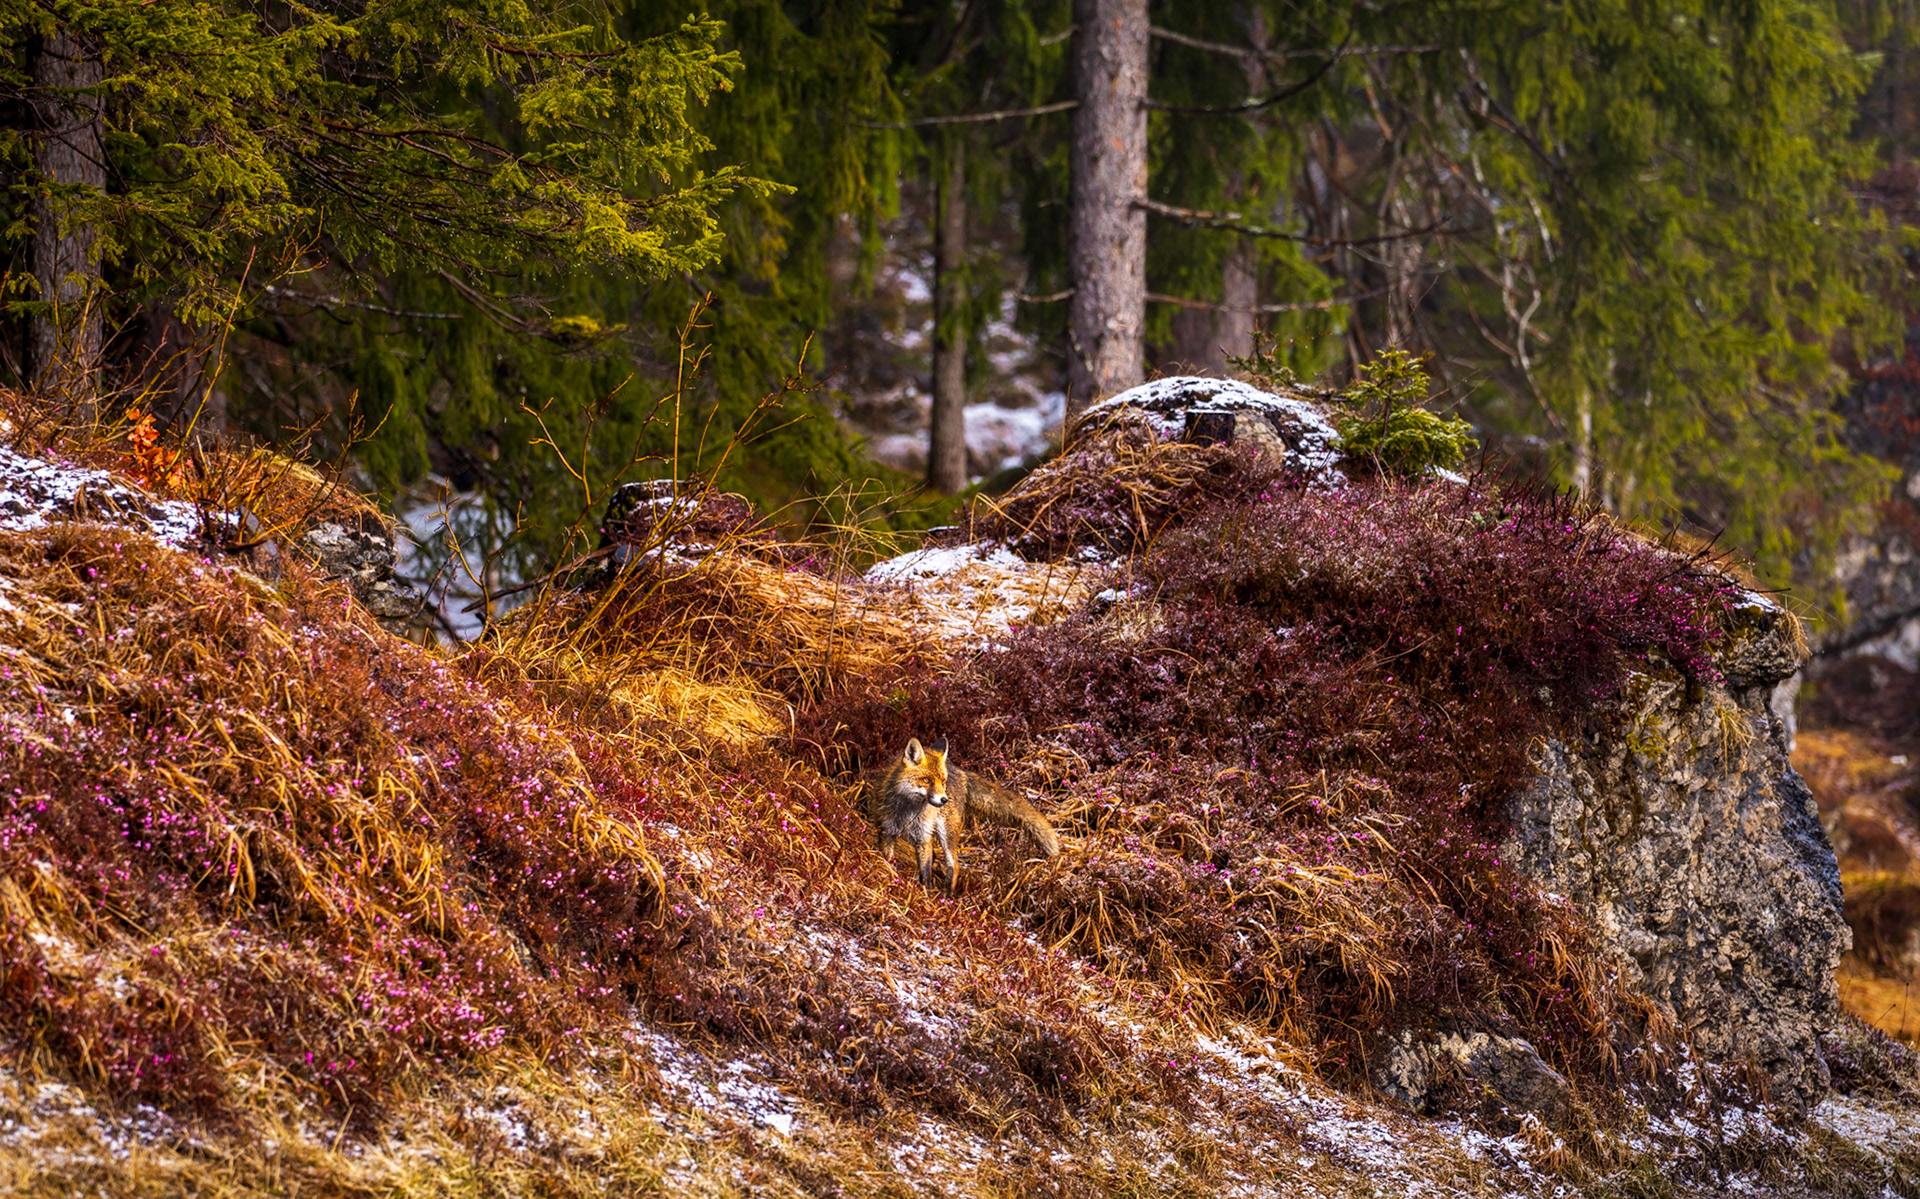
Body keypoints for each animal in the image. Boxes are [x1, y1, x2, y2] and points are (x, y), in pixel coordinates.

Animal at [862, 737, 1061, 893]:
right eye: (926, 780)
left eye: (942, 782)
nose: (944, 799)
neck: (908, 813)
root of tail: (960, 771)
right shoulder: (887, 831)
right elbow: (888, 859)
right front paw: (890, 877)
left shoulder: (923, 837)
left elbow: (925, 875)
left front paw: (925, 897)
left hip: (946, 833)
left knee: (954, 865)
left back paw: (946, 897)